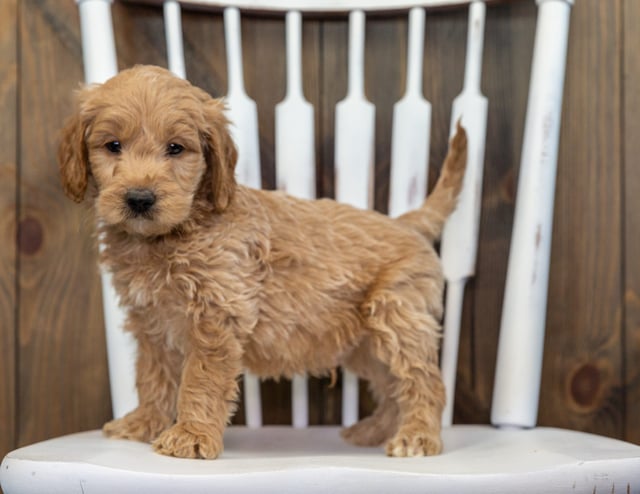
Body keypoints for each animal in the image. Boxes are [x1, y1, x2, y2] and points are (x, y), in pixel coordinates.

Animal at [57, 64, 468, 460]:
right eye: (113, 146)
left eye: (175, 148)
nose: (140, 198)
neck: (173, 234)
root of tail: (406, 222)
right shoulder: (152, 322)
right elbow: (152, 376)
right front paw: (144, 423)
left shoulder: (216, 316)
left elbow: (200, 379)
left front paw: (191, 435)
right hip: (364, 344)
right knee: (391, 385)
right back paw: (376, 431)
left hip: (397, 317)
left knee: (422, 381)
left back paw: (416, 436)